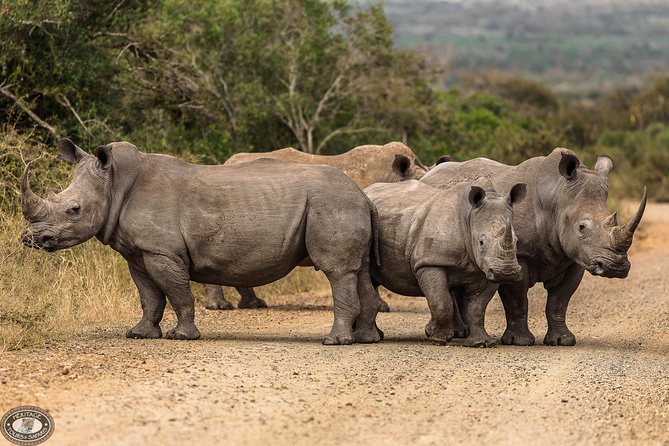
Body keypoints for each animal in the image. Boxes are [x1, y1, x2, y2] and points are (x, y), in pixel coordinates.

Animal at [21, 139, 382, 345]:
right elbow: (149, 297)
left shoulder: (162, 251)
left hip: (331, 202)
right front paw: (140, 334)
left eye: (74, 209)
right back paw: (367, 339)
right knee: (360, 271)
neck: (115, 184)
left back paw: (335, 342)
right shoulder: (138, 253)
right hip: (344, 204)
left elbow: (177, 293)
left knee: (337, 271)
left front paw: (182, 337)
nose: (32, 239)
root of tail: (363, 195)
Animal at [364, 179, 526, 346]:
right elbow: (441, 301)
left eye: (516, 241)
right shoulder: (430, 261)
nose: (507, 273)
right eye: (481, 242)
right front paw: (437, 337)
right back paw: (377, 336)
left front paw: (482, 342)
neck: (469, 216)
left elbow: (477, 308)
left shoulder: (486, 270)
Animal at [420, 148, 647, 346]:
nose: (615, 267)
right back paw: (457, 333)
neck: (557, 197)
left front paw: (562, 341)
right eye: (581, 227)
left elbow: (559, 302)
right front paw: (519, 341)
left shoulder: (575, 257)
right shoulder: (518, 255)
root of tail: (429, 173)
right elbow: (518, 301)